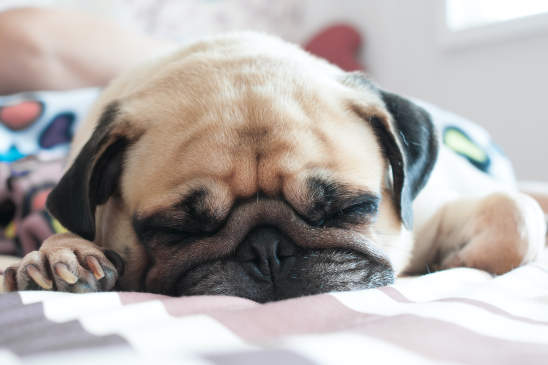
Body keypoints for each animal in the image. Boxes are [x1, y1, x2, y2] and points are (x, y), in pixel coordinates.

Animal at [3, 32, 544, 302]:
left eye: (349, 209)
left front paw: (453, 263)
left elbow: (515, 221)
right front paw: (60, 257)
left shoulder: (435, 213)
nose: (268, 251)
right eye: (177, 230)